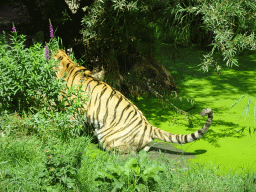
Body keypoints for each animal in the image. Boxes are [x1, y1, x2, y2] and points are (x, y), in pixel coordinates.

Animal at [53, 49, 213, 153]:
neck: (67, 65)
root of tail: (148, 126)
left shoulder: (73, 110)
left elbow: (66, 125)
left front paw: (61, 136)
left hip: (107, 137)